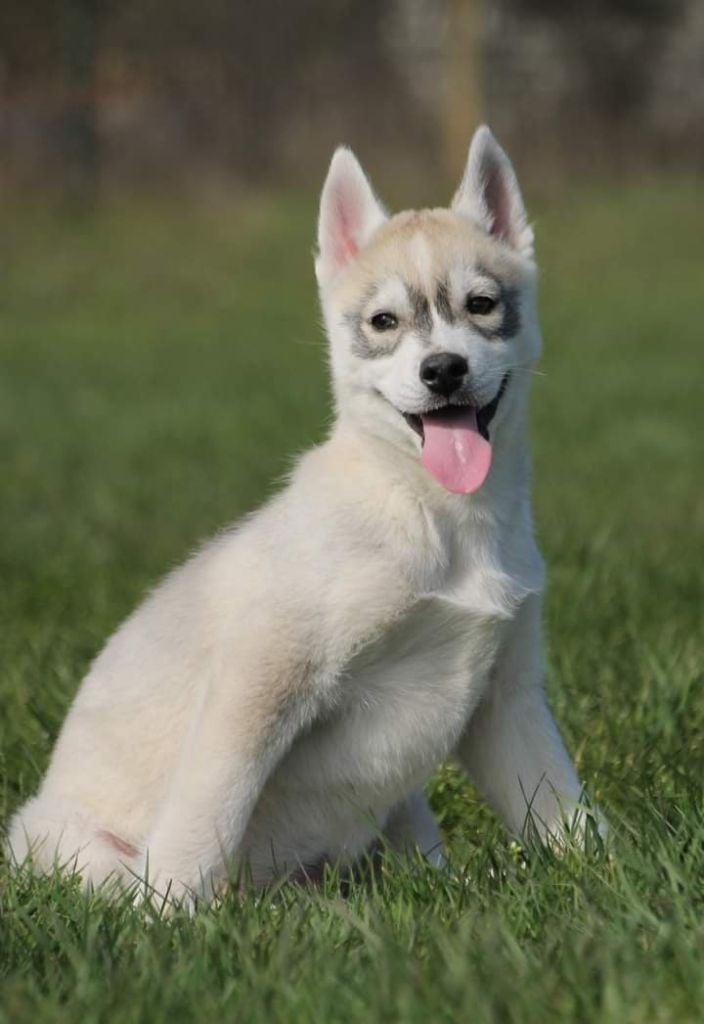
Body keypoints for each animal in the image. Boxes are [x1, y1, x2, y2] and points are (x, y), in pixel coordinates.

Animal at [7, 126, 594, 906]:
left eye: (481, 304)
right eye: (383, 322)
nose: (443, 369)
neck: (433, 515)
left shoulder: (508, 701)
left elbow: (565, 810)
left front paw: (616, 878)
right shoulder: (262, 679)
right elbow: (205, 820)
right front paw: (169, 918)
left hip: (402, 817)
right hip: (65, 844)